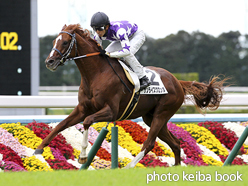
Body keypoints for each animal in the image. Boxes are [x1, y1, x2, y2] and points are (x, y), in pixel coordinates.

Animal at [34, 24, 227, 168]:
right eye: (55, 41)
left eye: (65, 42)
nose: (49, 62)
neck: (96, 74)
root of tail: (177, 81)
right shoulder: (82, 108)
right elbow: (61, 125)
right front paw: (39, 149)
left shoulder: (110, 111)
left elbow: (87, 121)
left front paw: (82, 156)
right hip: (152, 117)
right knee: (176, 143)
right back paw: (177, 167)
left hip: (162, 113)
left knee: (149, 143)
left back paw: (129, 166)